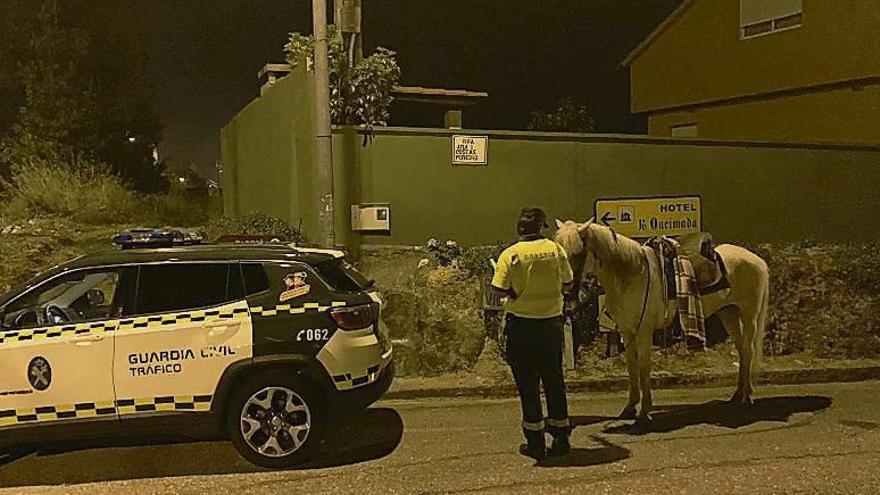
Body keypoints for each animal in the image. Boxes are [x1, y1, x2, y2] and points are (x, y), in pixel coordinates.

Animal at [556, 219, 768, 420]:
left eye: (577, 253)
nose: (566, 294)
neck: (632, 274)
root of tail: (757, 260)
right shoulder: (627, 330)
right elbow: (632, 366)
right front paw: (630, 407)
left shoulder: (644, 330)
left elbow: (643, 367)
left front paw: (644, 411)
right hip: (728, 313)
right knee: (741, 351)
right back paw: (737, 394)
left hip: (749, 315)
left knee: (748, 350)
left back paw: (747, 396)